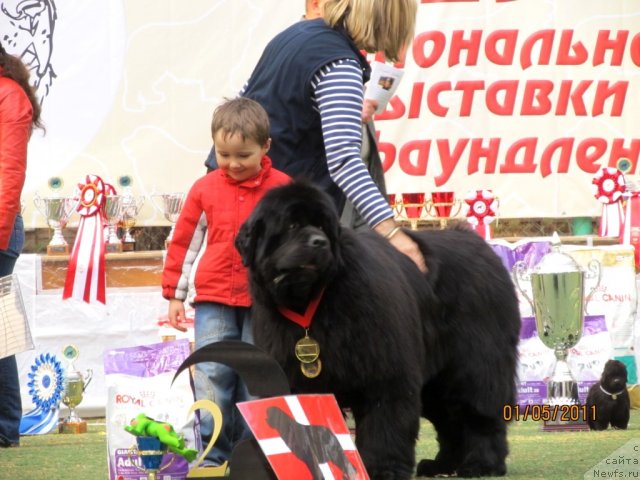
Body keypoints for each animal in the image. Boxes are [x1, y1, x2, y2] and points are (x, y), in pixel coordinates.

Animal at [235, 182, 520, 478]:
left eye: (323, 227)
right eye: (291, 225)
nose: (319, 242)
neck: (314, 303)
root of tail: (481, 247)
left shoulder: (385, 372)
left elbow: (385, 424)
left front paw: (384, 469)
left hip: (475, 365)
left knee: (480, 413)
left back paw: (482, 464)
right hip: (435, 380)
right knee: (448, 419)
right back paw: (442, 464)